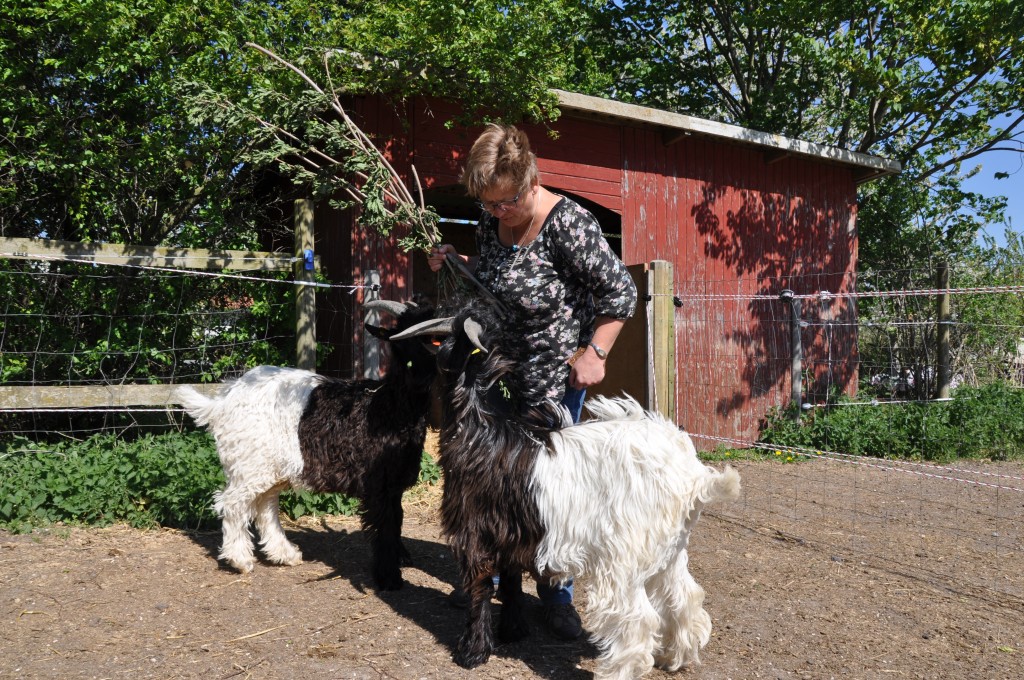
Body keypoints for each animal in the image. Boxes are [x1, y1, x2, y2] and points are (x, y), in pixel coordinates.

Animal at [177, 299, 440, 589]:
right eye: (406, 336)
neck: (388, 407)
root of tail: (223, 400)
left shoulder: (394, 484)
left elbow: (397, 521)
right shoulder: (379, 486)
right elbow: (385, 527)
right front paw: (389, 578)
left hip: (272, 467)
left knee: (265, 505)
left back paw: (284, 554)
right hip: (249, 462)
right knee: (234, 502)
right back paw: (240, 560)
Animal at [393, 303, 745, 680]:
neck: (480, 430)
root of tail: (693, 475)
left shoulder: (475, 532)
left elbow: (481, 587)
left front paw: (472, 652)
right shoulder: (512, 533)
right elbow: (512, 583)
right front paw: (513, 631)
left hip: (624, 556)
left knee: (637, 619)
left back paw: (616, 672)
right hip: (669, 550)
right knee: (685, 597)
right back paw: (675, 658)